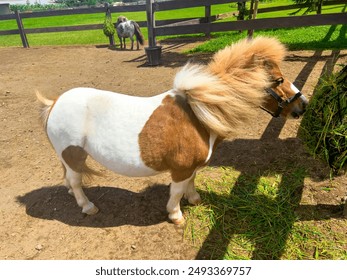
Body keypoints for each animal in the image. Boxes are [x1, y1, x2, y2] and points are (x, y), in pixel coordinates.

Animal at [37, 37, 310, 225]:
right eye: (277, 80)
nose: (303, 105)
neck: (201, 112)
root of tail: (55, 102)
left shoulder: (192, 167)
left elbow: (191, 182)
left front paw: (195, 199)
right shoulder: (180, 169)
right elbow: (177, 191)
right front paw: (176, 215)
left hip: (69, 157)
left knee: (70, 179)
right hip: (73, 155)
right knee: (76, 181)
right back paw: (87, 206)